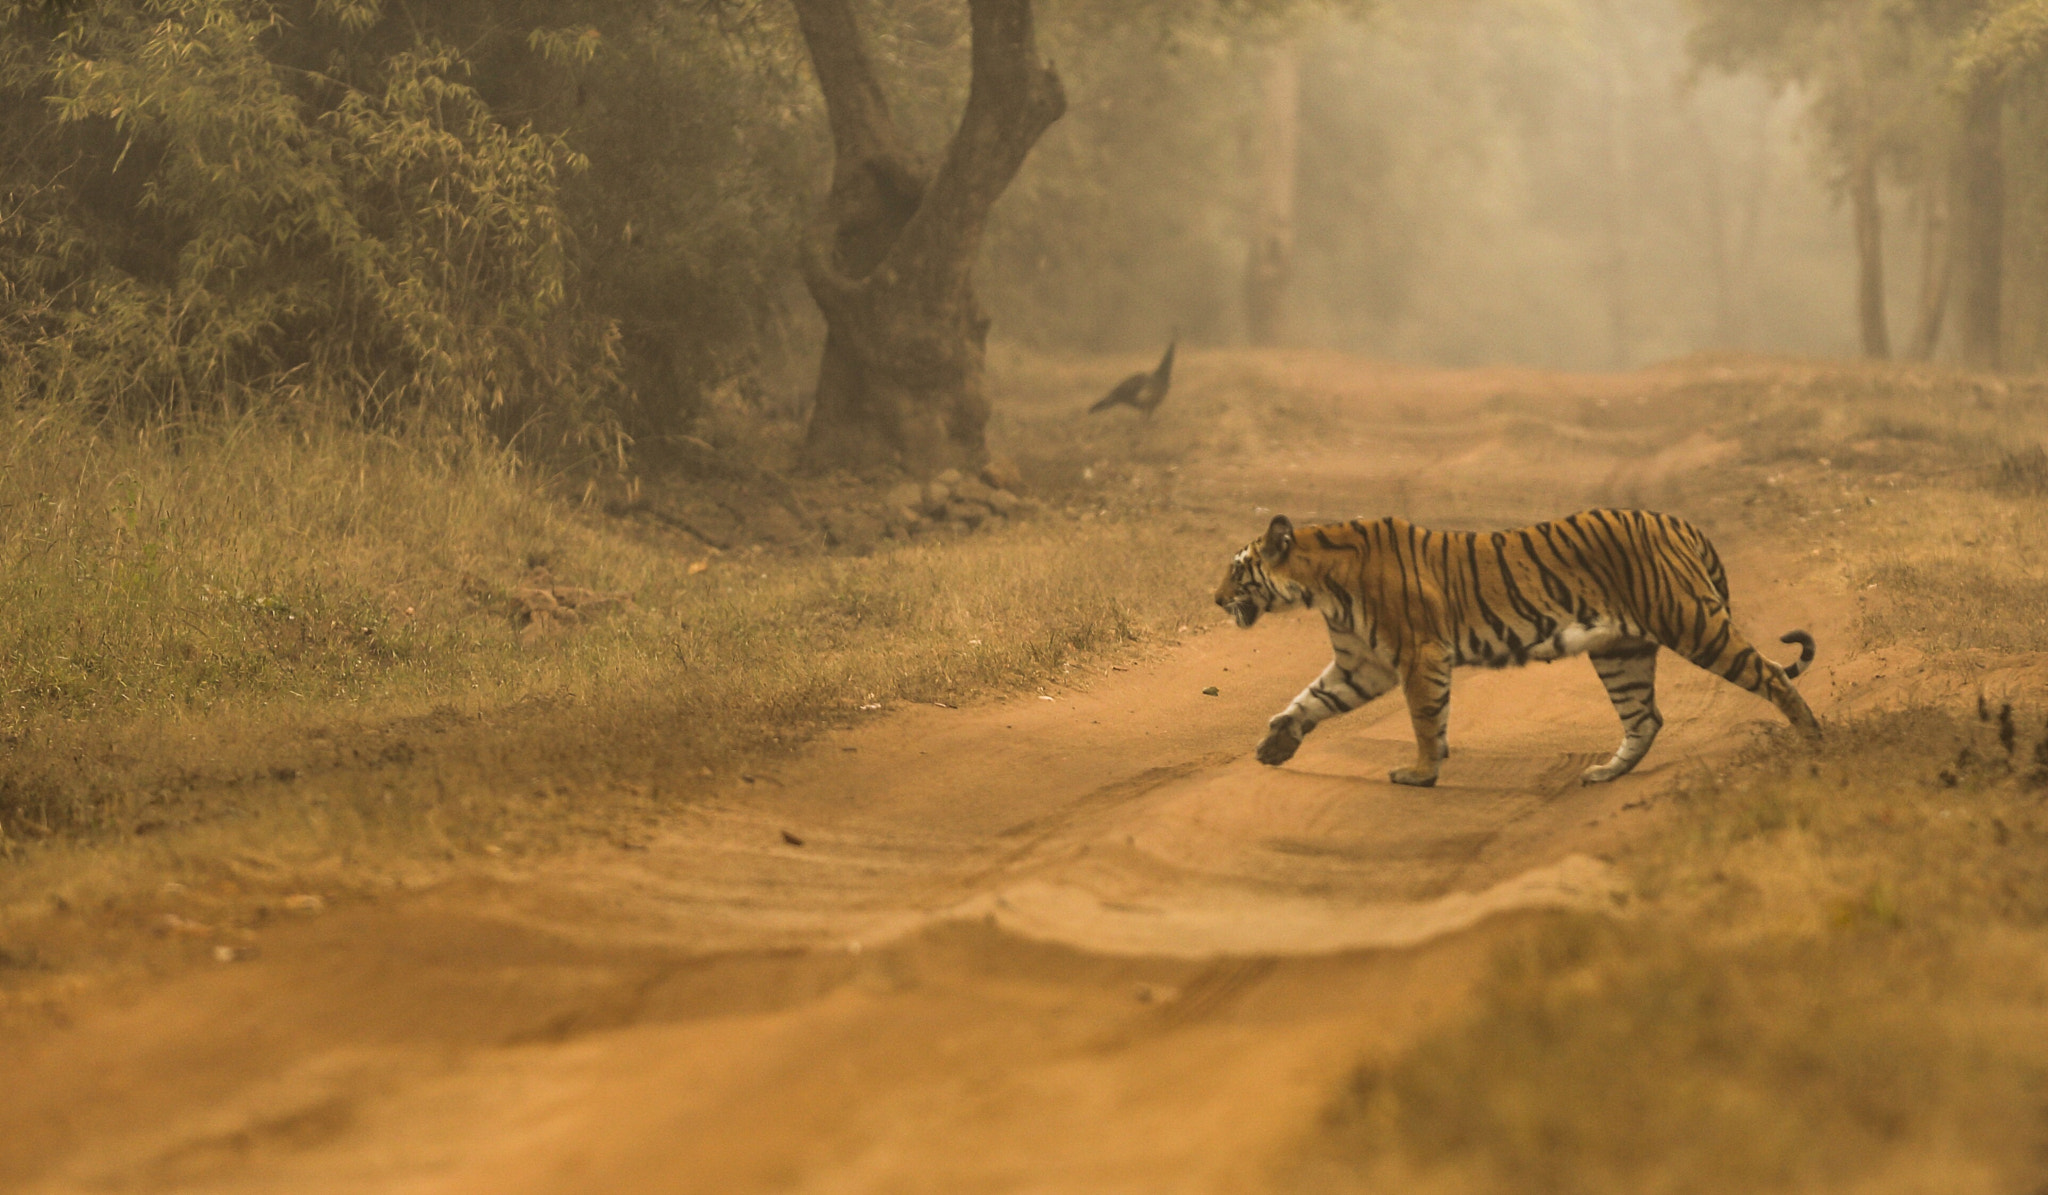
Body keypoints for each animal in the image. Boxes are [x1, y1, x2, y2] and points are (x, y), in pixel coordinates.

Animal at [1204, 510, 1818, 791]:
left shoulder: (1418, 653)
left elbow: (1425, 718)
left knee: (1773, 675)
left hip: (1690, 621)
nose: (1213, 598)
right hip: (1621, 650)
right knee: (1646, 717)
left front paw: (1421, 773)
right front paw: (1276, 743)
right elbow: (1312, 698)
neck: (1318, 585)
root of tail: (1677, 520)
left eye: (1237, 571)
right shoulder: (1363, 663)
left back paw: (1816, 741)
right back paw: (1605, 773)